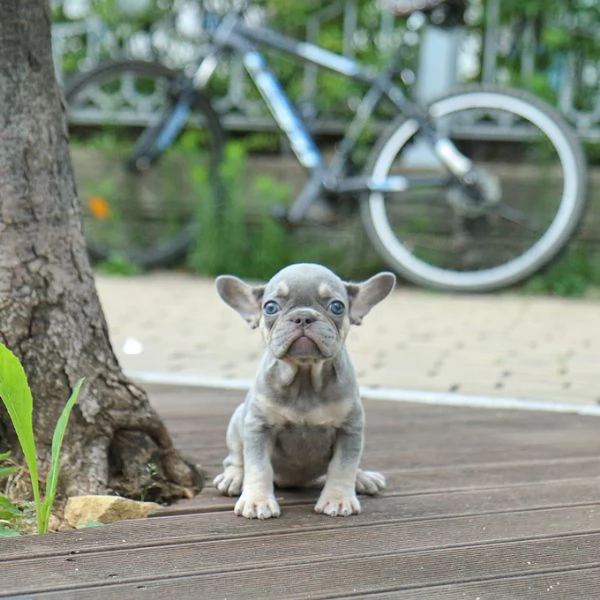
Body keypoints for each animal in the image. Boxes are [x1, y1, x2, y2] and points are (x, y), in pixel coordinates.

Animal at [213, 264, 396, 516]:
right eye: (270, 307)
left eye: (337, 306)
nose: (303, 317)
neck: (304, 379)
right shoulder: (258, 427)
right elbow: (258, 466)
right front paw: (257, 501)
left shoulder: (349, 429)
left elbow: (343, 465)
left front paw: (338, 499)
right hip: (237, 421)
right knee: (235, 458)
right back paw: (233, 477)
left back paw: (362, 478)